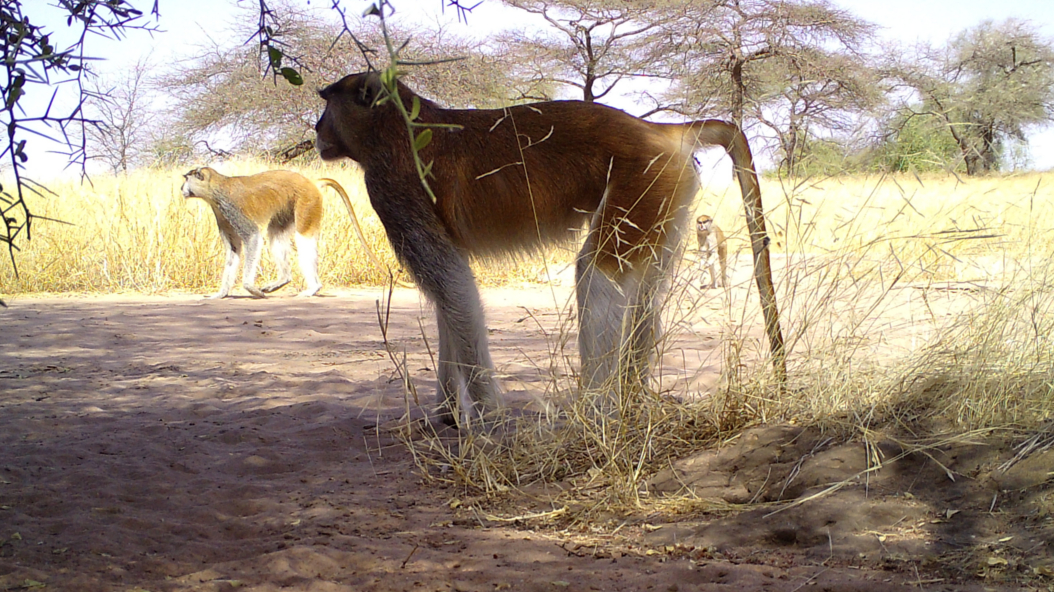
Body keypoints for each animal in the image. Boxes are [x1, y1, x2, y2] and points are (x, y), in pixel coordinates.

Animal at [182, 167, 383, 297]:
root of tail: (312, 182)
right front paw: (221, 293)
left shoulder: (230, 207)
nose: (181, 188)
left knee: (303, 238)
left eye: (186, 178)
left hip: (307, 202)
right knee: (276, 236)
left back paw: (314, 288)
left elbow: (253, 237)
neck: (216, 186)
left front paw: (250, 288)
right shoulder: (221, 214)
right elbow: (233, 249)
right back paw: (284, 280)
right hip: (288, 207)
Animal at [311, 72, 784, 423]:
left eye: (326, 101)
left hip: (641, 180)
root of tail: (657, 131)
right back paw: (630, 399)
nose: (316, 129)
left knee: (597, 271)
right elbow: (448, 292)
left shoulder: (392, 186)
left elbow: (454, 284)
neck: (393, 126)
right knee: (647, 291)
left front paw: (486, 412)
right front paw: (446, 412)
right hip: (667, 190)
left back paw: (595, 409)